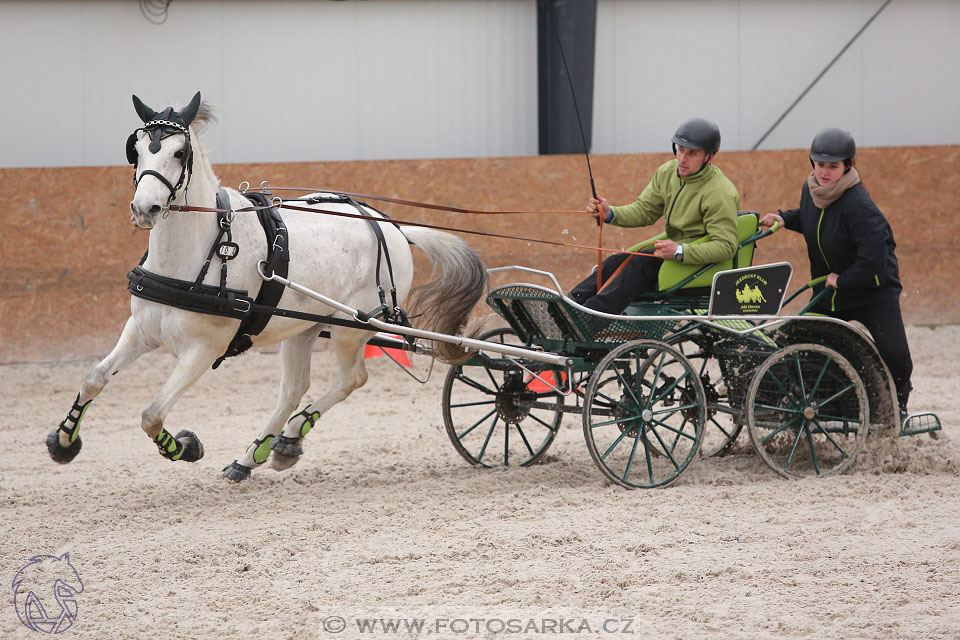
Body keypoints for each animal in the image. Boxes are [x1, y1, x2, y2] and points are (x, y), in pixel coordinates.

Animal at [47, 91, 488, 480]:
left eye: (179, 153)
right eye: (136, 149)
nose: (145, 208)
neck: (198, 253)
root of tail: (392, 227)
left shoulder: (204, 350)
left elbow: (152, 415)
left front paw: (186, 446)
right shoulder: (141, 330)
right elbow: (94, 378)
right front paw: (64, 441)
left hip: (351, 327)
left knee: (351, 379)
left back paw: (288, 437)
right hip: (303, 326)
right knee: (293, 388)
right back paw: (257, 455)